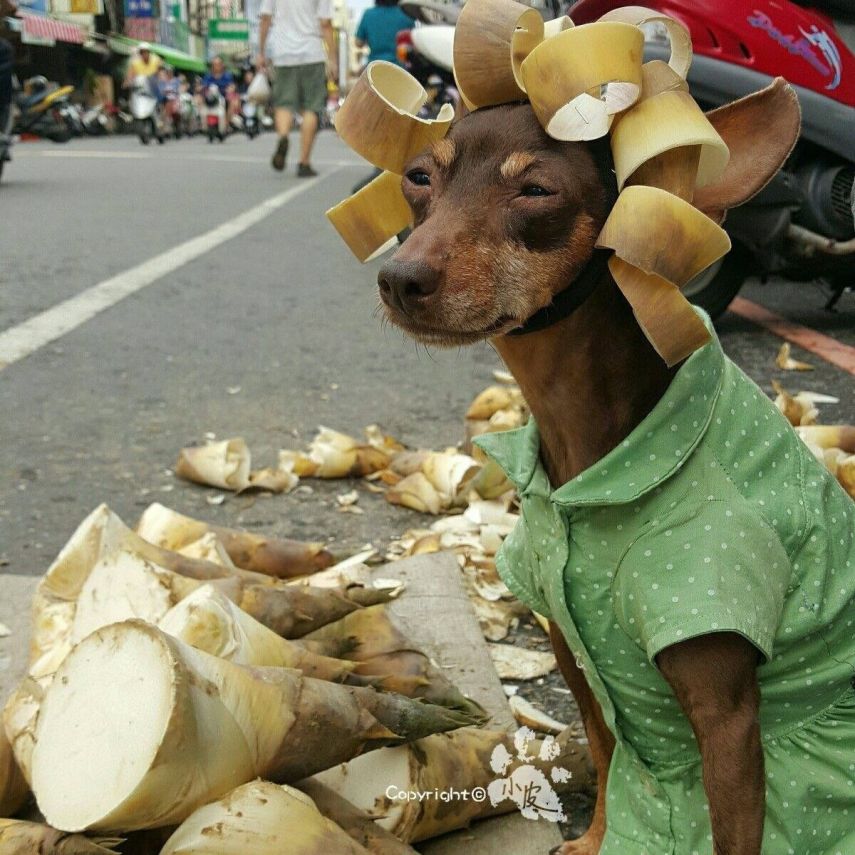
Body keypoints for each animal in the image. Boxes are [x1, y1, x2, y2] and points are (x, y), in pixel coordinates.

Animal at [372, 87, 844, 855]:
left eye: (536, 191)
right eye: (419, 178)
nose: (398, 277)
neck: (592, 432)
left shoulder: (726, 715)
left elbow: (728, 832)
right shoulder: (570, 645)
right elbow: (606, 745)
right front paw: (596, 836)